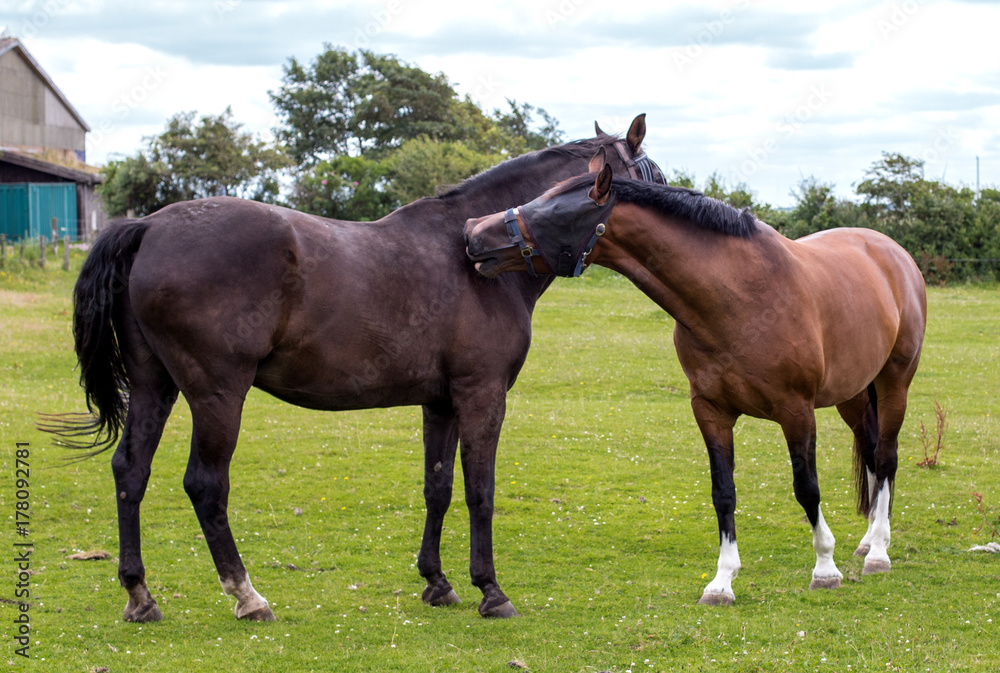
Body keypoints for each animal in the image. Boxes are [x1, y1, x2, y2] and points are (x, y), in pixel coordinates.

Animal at [41, 115, 664, 620]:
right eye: (645, 179)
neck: (473, 256)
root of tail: (149, 227)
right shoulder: (482, 395)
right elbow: (479, 491)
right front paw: (490, 590)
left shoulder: (440, 402)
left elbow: (438, 487)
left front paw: (437, 582)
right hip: (217, 394)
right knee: (205, 484)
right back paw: (247, 596)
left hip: (155, 385)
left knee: (131, 472)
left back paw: (140, 596)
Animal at [464, 161, 924, 604]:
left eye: (551, 212)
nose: (472, 232)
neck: (741, 296)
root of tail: (892, 253)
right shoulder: (710, 410)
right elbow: (723, 492)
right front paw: (722, 582)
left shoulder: (796, 411)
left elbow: (807, 488)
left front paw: (825, 569)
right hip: (853, 395)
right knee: (871, 456)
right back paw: (868, 540)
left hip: (894, 384)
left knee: (886, 458)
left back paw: (878, 552)